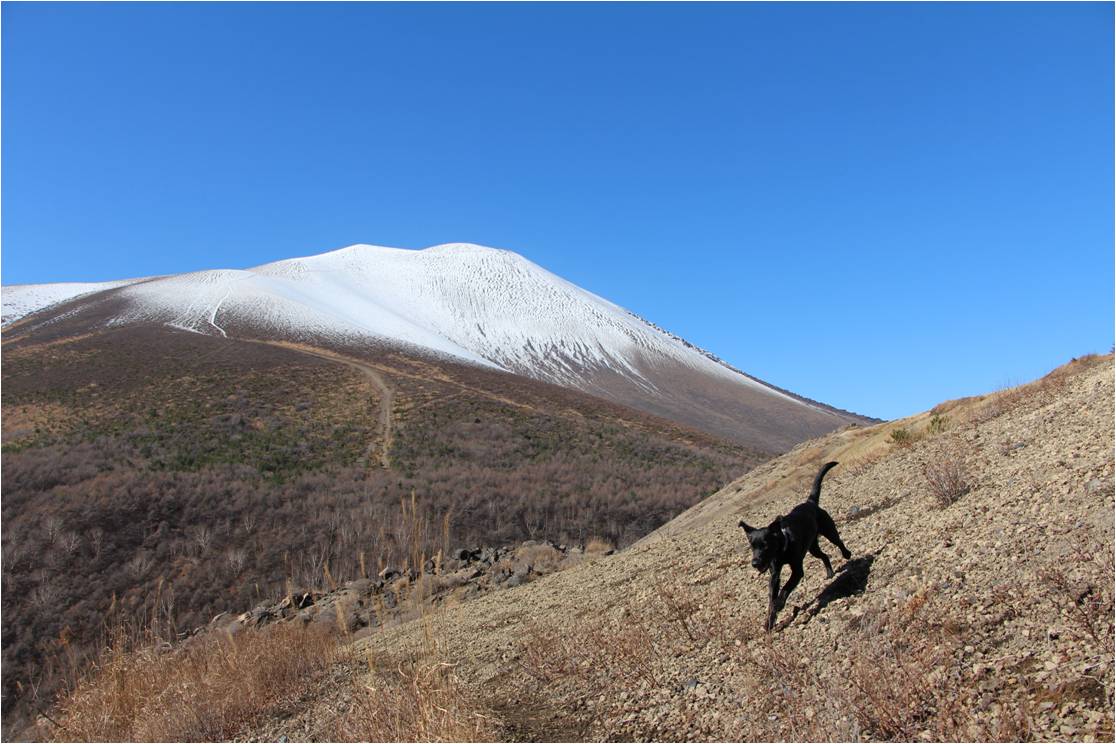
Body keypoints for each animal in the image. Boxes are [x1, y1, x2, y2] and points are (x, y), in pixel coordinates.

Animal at [741, 461, 852, 633]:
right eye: (752, 547)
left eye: (765, 546)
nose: (755, 563)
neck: (782, 550)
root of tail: (810, 502)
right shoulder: (774, 574)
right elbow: (772, 597)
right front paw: (769, 622)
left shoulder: (797, 571)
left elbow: (786, 588)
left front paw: (779, 604)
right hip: (812, 548)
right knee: (824, 555)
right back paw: (829, 573)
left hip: (829, 530)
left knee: (838, 542)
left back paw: (847, 554)